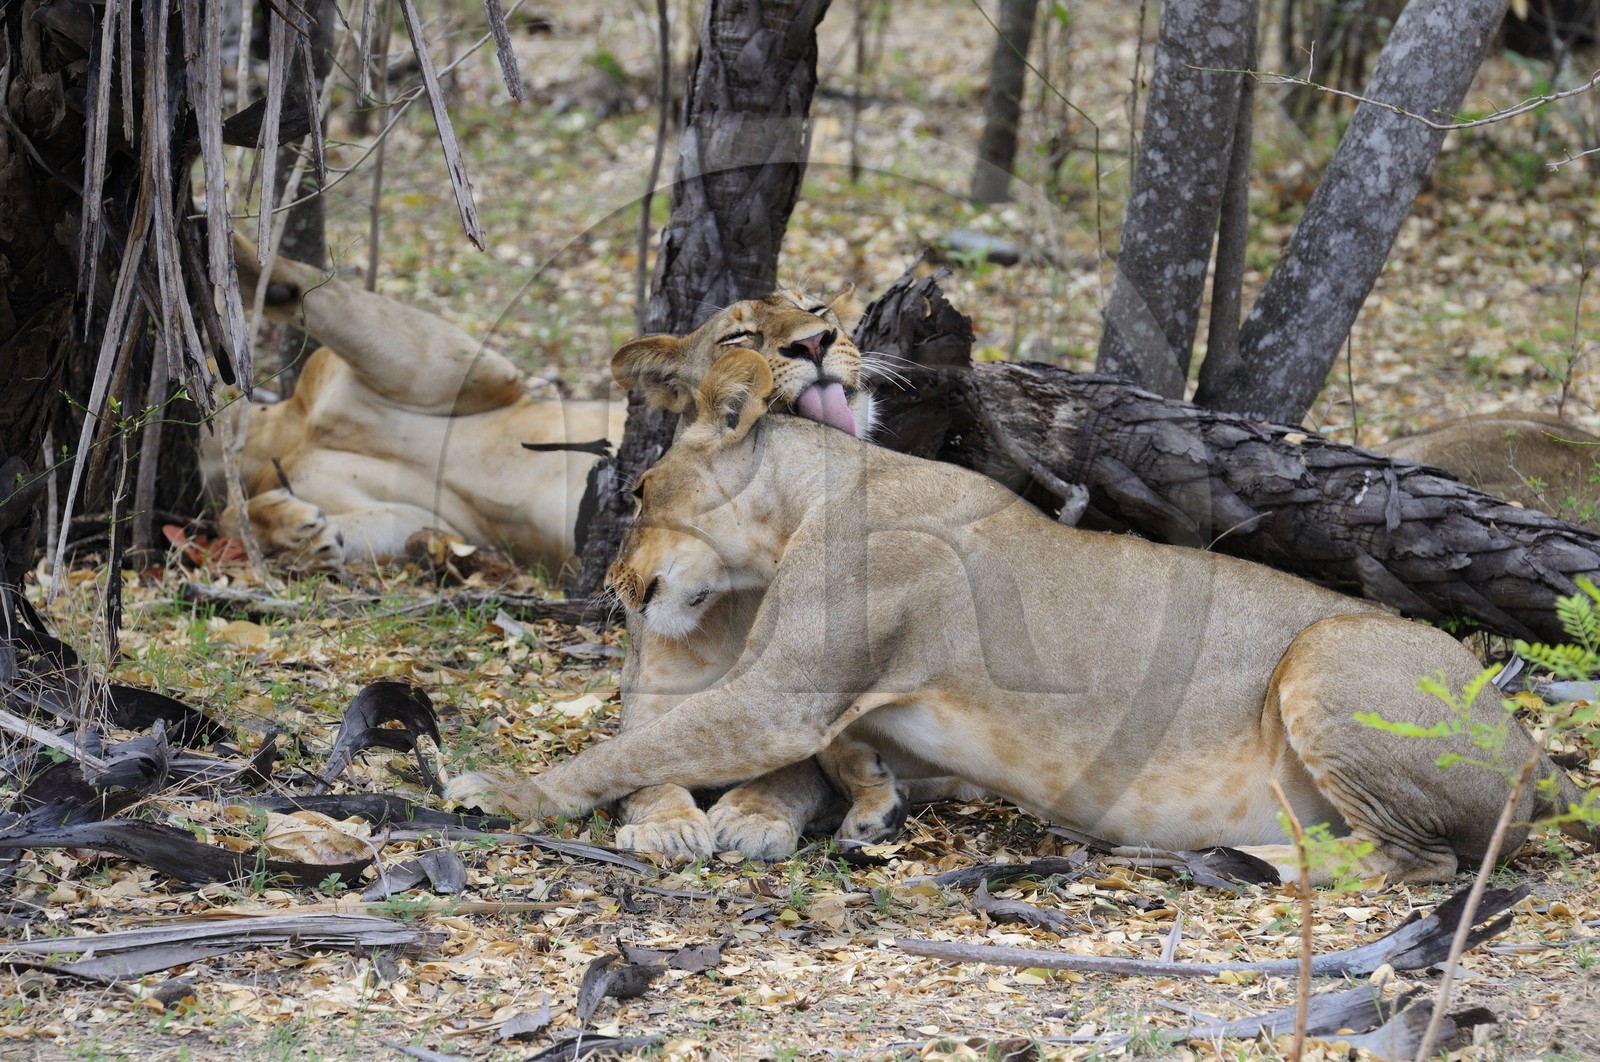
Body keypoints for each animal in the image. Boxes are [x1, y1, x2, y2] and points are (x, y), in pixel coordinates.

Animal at [448, 349, 1598, 883]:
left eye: (639, 492)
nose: (618, 582)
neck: (808, 500)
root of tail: (1538, 760)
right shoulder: (849, 698)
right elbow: (844, 750)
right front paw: (871, 804)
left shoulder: (782, 693)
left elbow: (626, 751)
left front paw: (497, 788)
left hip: (1326, 652)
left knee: (1420, 861)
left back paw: (1255, 858)